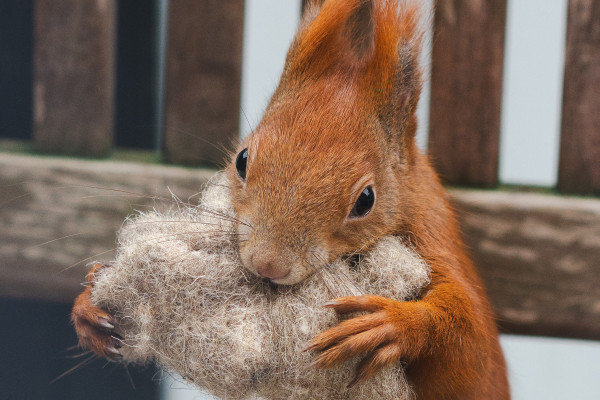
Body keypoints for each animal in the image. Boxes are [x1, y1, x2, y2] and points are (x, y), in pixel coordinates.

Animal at [71, 1, 510, 398]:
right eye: (242, 159)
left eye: (366, 200)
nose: (269, 265)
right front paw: (88, 302)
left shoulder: (434, 237)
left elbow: (472, 352)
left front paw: (394, 323)